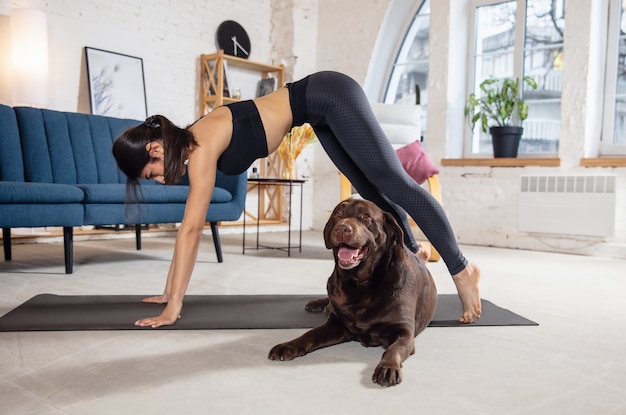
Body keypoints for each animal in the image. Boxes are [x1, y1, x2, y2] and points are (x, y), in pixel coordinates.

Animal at [266, 198, 436, 386]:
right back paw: (319, 304)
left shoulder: (404, 332)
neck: (361, 282)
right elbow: (309, 334)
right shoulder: (336, 324)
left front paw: (388, 367)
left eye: (365, 216)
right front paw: (288, 345)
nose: (342, 229)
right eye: (338, 215)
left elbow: (393, 349)